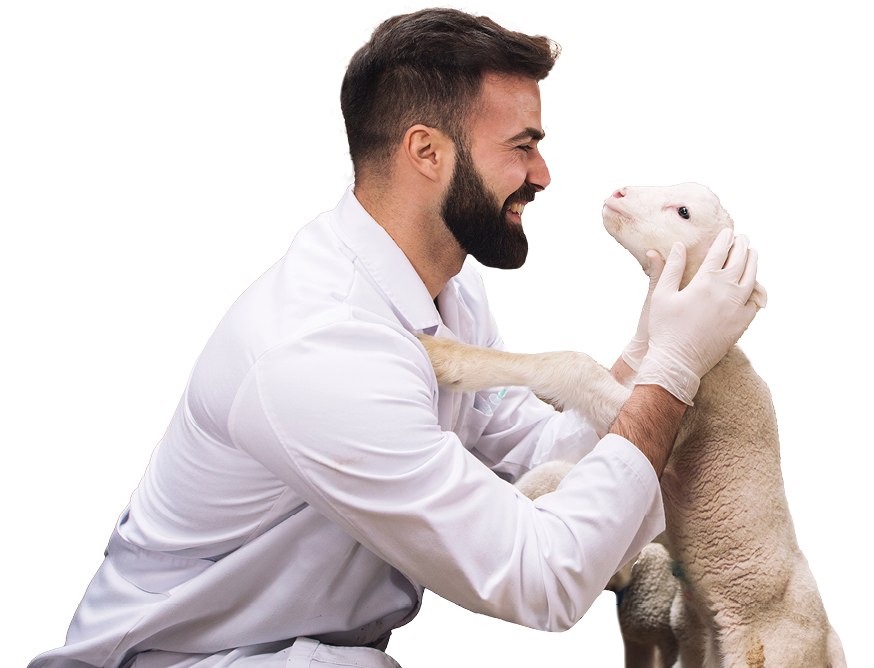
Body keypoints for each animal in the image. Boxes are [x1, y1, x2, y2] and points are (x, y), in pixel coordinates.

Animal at [418, 183, 846, 668]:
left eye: (683, 212)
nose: (619, 191)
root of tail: (828, 643)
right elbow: (557, 462)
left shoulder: (684, 413)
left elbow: (573, 364)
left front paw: (440, 355)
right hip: (693, 628)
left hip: (771, 649)